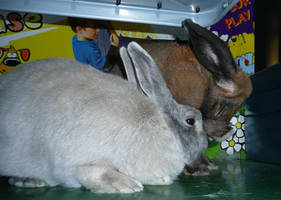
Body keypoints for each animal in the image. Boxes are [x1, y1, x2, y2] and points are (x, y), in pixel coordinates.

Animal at [0, 41, 206, 193]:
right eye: (191, 120)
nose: (206, 143)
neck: (162, 125)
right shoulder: (76, 162)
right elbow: (96, 172)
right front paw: (127, 185)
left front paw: (159, 179)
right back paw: (28, 180)